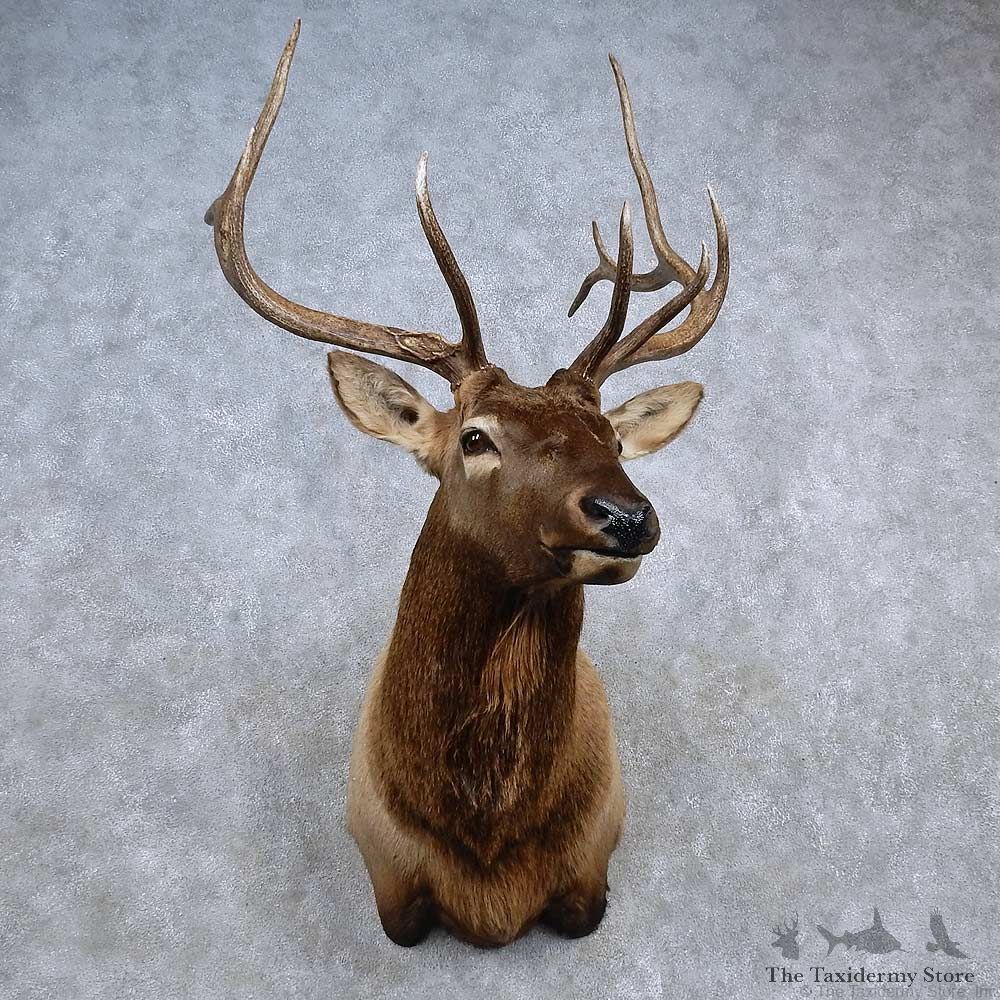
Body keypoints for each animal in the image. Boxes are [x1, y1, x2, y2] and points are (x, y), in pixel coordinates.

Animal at [204, 21, 729, 948]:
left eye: (610, 439)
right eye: (475, 438)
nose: (625, 515)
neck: (487, 847)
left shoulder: (594, 866)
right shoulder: (386, 877)